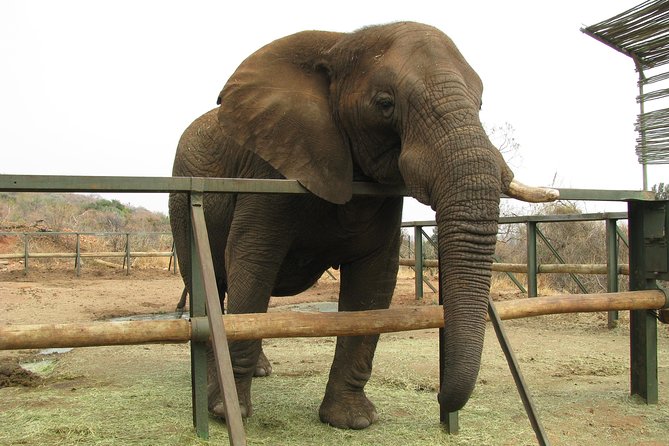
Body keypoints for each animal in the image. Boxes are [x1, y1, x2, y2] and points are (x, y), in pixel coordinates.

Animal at [168, 21, 557, 430]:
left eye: (480, 104)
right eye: (385, 104)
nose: (438, 396)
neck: (340, 43)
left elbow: (373, 285)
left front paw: (351, 420)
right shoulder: (267, 170)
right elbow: (253, 264)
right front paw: (225, 413)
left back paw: (261, 372)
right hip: (182, 199)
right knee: (213, 285)